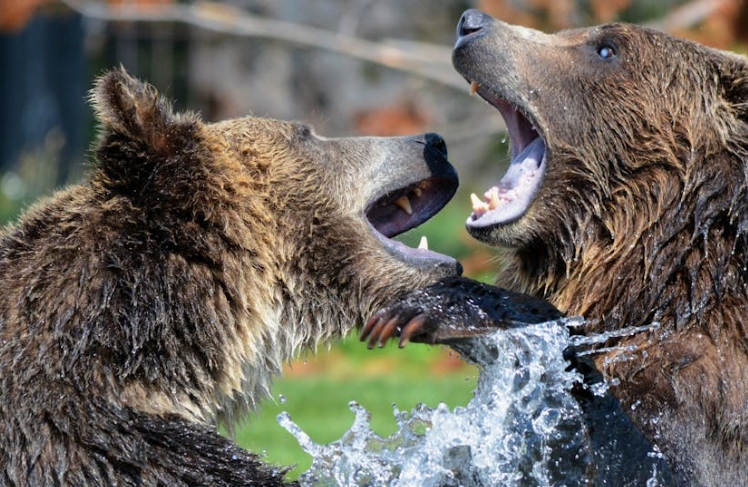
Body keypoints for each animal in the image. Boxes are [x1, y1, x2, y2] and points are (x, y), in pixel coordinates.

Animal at [362, 8, 748, 487]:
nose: (472, 23)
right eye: (570, 33)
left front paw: (433, 307)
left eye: (606, 48)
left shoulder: (706, 384)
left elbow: (648, 455)